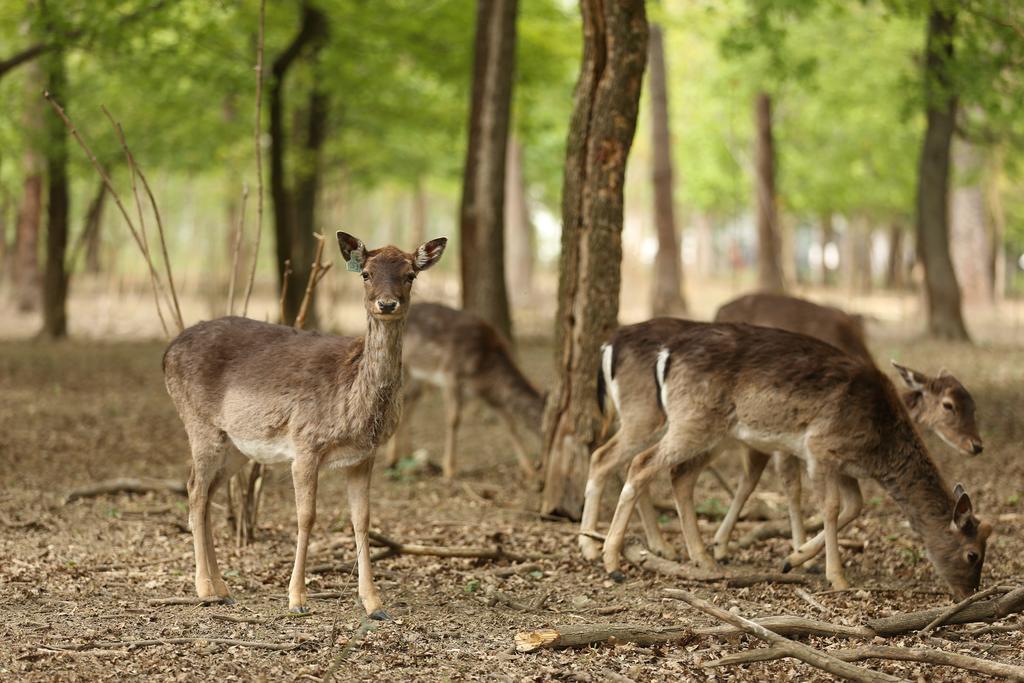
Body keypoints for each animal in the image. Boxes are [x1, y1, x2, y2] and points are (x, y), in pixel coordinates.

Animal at [162, 232, 444, 618]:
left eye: (410, 275)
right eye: (366, 273)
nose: (387, 304)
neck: (353, 401)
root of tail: (166, 354)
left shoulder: (363, 456)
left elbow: (362, 519)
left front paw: (374, 603)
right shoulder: (306, 443)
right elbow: (306, 516)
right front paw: (297, 599)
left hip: (236, 444)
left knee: (208, 494)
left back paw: (222, 588)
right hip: (199, 423)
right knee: (194, 490)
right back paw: (205, 589)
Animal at [382, 301, 544, 479]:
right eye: (541, 418)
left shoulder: (486, 393)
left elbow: (509, 423)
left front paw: (529, 469)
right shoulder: (450, 374)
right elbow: (453, 419)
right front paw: (449, 469)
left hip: (419, 379)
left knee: (408, 408)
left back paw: (409, 460)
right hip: (405, 369)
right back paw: (393, 460)